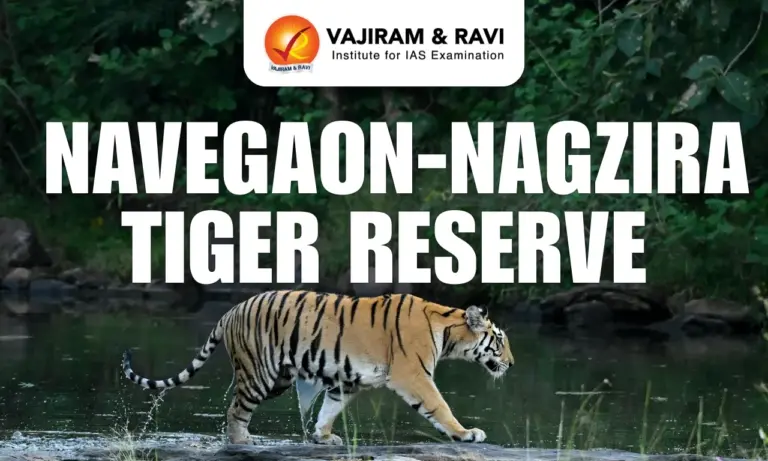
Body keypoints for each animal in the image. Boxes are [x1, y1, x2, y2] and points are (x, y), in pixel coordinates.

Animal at [121, 290, 514, 445]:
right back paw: (242, 440)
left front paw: (323, 436)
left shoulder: (346, 381)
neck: (448, 331)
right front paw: (467, 434)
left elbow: (329, 408)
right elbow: (440, 406)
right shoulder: (413, 375)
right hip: (260, 374)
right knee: (235, 410)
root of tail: (230, 310)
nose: (511, 363)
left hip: (278, 377)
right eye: (499, 340)